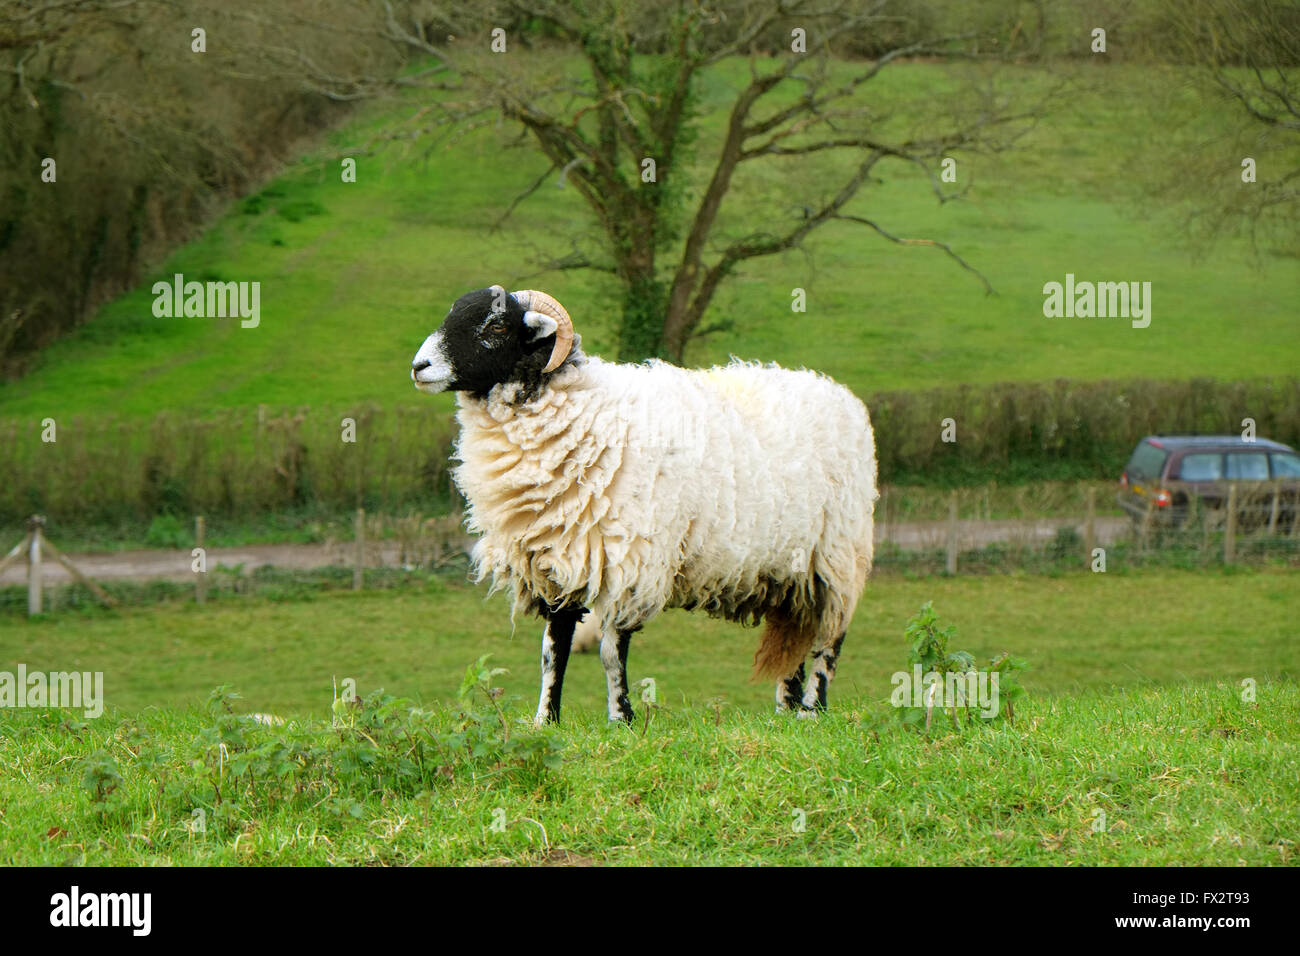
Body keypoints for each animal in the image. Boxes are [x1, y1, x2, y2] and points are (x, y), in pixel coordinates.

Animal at [410, 283, 878, 723]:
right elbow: (552, 651)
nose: (418, 367)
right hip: (790, 573)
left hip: (838, 558)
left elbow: (610, 652)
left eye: (497, 326)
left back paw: (811, 709)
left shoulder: (629, 562)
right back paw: (785, 711)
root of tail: (840, 394)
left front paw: (622, 718)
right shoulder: (558, 560)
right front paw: (545, 720)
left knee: (829, 642)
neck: (581, 412)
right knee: (795, 638)